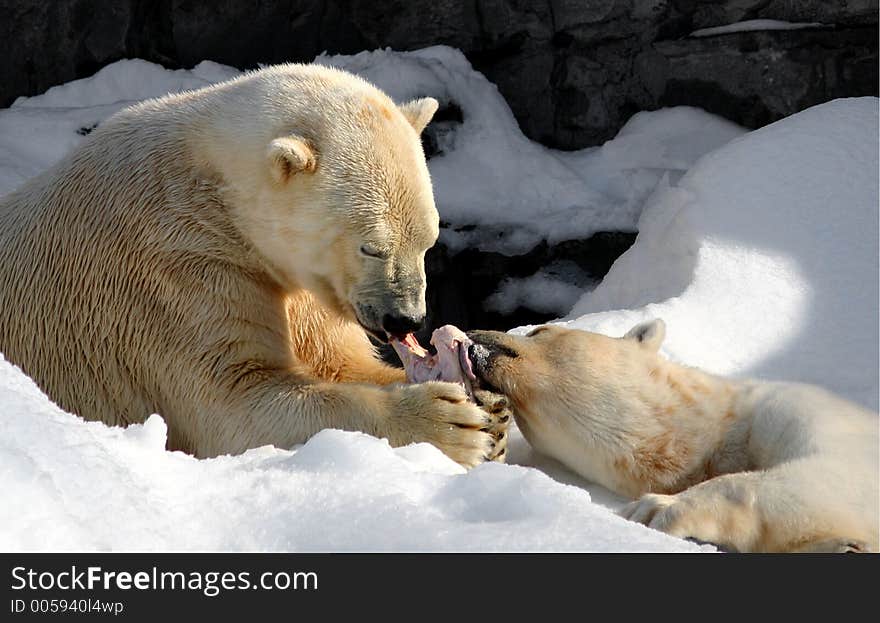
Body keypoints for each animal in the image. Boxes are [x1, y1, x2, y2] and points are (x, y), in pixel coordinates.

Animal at [0, 66, 502, 466]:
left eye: (428, 242)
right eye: (372, 248)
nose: (406, 319)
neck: (213, 189)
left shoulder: (302, 290)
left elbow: (339, 361)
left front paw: (491, 410)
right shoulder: (173, 272)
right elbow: (234, 405)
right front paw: (451, 422)